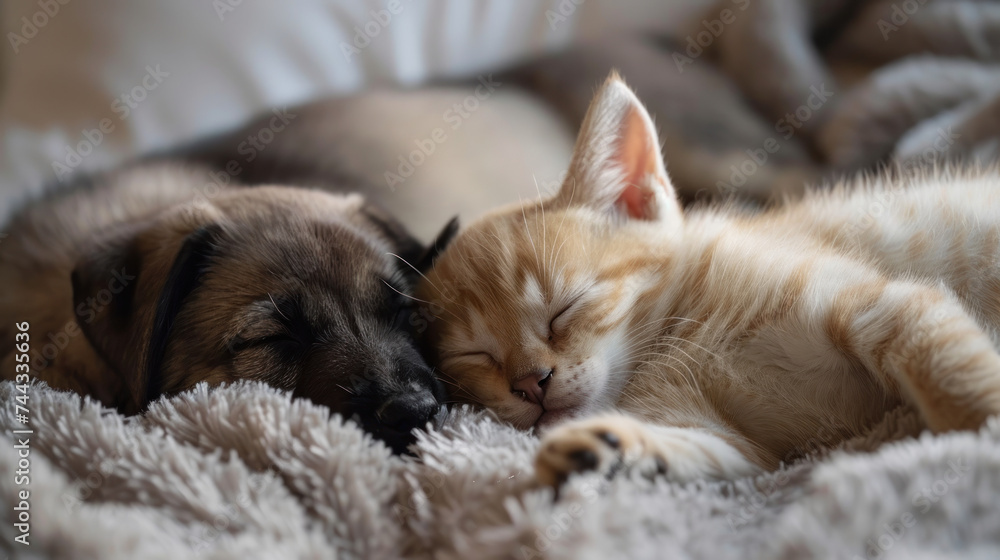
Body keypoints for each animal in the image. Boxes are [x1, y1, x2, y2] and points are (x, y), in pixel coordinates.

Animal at [416, 73, 1000, 486]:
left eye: (566, 307)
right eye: (477, 356)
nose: (531, 384)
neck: (679, 337)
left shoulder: (882, 305)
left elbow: (951, 372)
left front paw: (981, 430)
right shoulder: (742, 448)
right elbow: (702, 452)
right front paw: (607, 449)